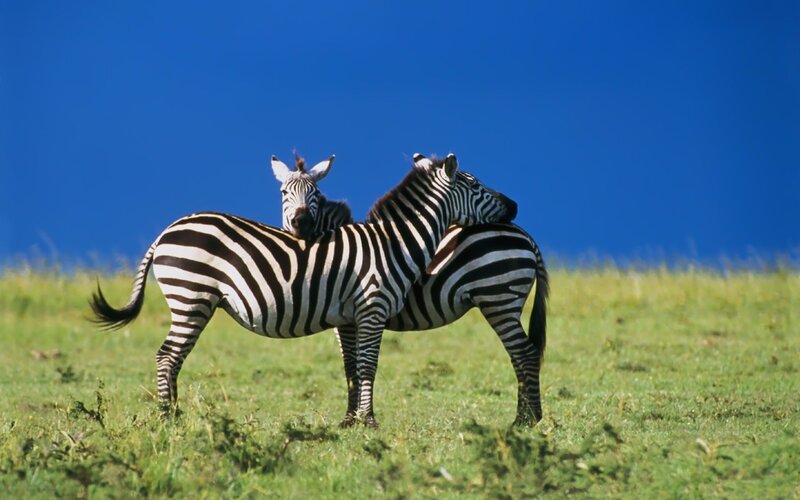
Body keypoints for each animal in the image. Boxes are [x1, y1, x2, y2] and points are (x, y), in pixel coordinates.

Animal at [90, 153, 516, 427]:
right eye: (476, 185)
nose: (514, 207)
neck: (391, 243)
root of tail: (167, 230)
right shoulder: (372, 307)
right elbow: (368, 365)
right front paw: (369, 422)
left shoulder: (350, 314)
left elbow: (354, 367)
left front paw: (354, 421)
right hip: (191, 296)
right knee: (166, 356)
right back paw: (167, 419)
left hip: (194, 301)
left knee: (173, 358)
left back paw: (175, 414)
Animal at [273, 155, 549, 426]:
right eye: (284, 193)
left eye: (316, 194)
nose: (302, 224)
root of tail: (525, 234)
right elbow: (352, 364)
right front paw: (353, 418)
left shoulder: (351, 318)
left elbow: (355, 364)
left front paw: (353, 419)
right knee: (520, 355)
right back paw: (526, 416)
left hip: (498, 298)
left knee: (524, 353)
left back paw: (525, 420)